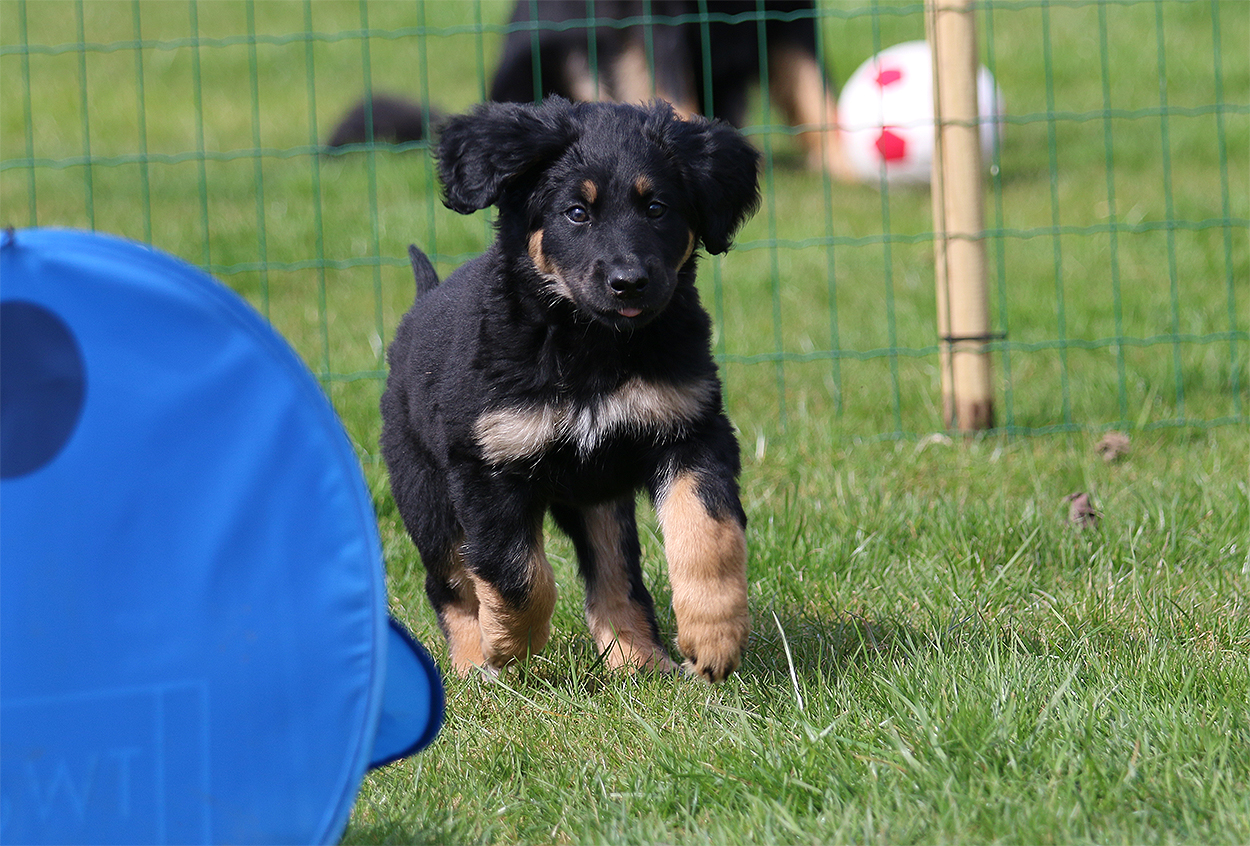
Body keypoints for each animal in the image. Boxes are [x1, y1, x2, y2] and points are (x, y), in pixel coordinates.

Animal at [328, 0, 847, 177]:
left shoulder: (792, 15)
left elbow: (816, 91)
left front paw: (843, 166)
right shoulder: (657, 20)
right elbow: (672, 92)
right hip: (562, 52)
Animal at [380, 97, 760, 681]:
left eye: (658, 209)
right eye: (576, 213)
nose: (629, 283)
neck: (591, 348)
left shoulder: (690, 428)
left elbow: (707, 533)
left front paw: (714, 637)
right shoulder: (486, 465)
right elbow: (515, 574)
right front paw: (508, 645)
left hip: (596, 496)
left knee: (615, 577)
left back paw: (638, 660)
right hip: (424, 492)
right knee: (449, 582)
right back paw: (472, 666)